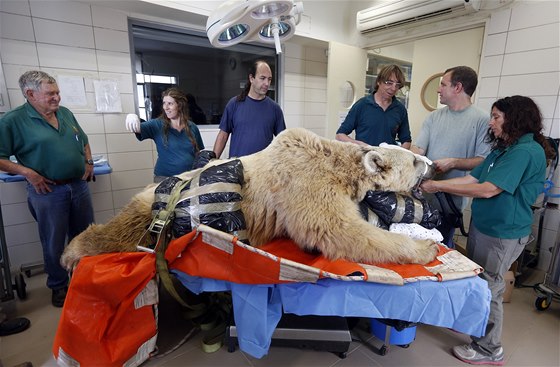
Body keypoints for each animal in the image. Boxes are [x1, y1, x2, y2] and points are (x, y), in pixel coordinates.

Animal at [60, 129, 438, 270]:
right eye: (413, 160)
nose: (431, 164)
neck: (337, 163)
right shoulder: (306, 181)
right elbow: (335, 229)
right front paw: (426, 248)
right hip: (153, 207)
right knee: (123, 230)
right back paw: (73, 251)